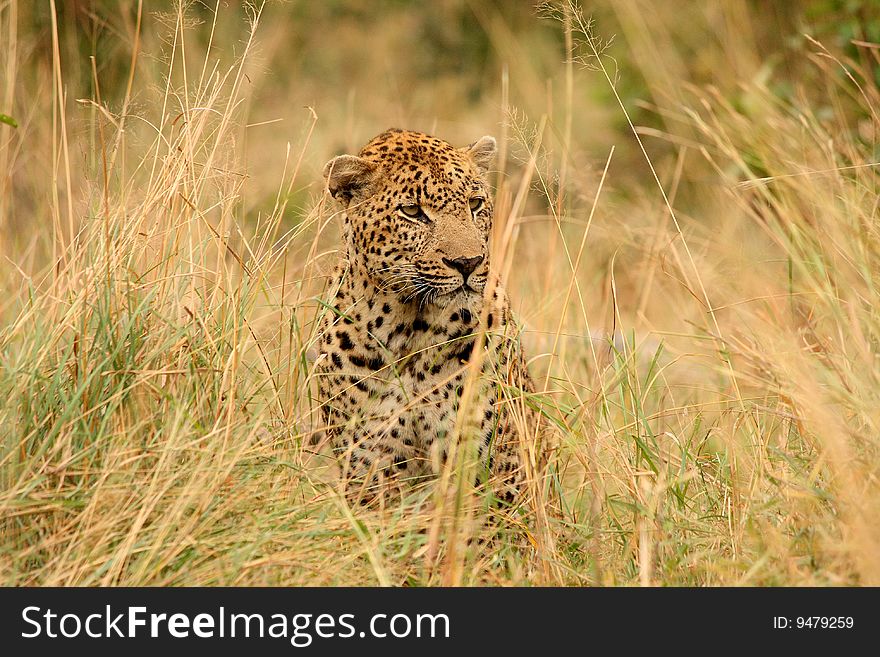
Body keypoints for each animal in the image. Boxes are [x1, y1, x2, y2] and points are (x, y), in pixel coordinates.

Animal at [310, 128, 544, 504]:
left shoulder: (494, 465)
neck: (409, 327)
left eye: (474, 204)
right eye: (412, 211)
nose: (469, 262)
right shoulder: (368, 466)